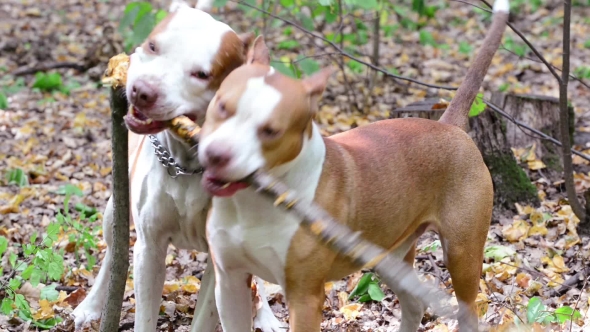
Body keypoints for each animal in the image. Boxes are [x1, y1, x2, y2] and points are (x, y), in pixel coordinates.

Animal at [71, 2, 284, 332]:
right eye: (153, 46)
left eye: (201, 74)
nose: (142, 90)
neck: (187, 164)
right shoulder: (149, 248)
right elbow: (144, 314)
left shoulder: (220, 260)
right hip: (113, 209)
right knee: (111, 252)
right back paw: (90, 305)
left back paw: (266, 317)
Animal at [198, 0, 508, 330]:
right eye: (222, 106)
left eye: (271, 131)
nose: (217, 154)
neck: (254, 201)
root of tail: (449, 126)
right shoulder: (229, 283)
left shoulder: (304, 298)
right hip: (388, 253)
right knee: (413, 303)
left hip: (462, 254)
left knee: (467, 309)